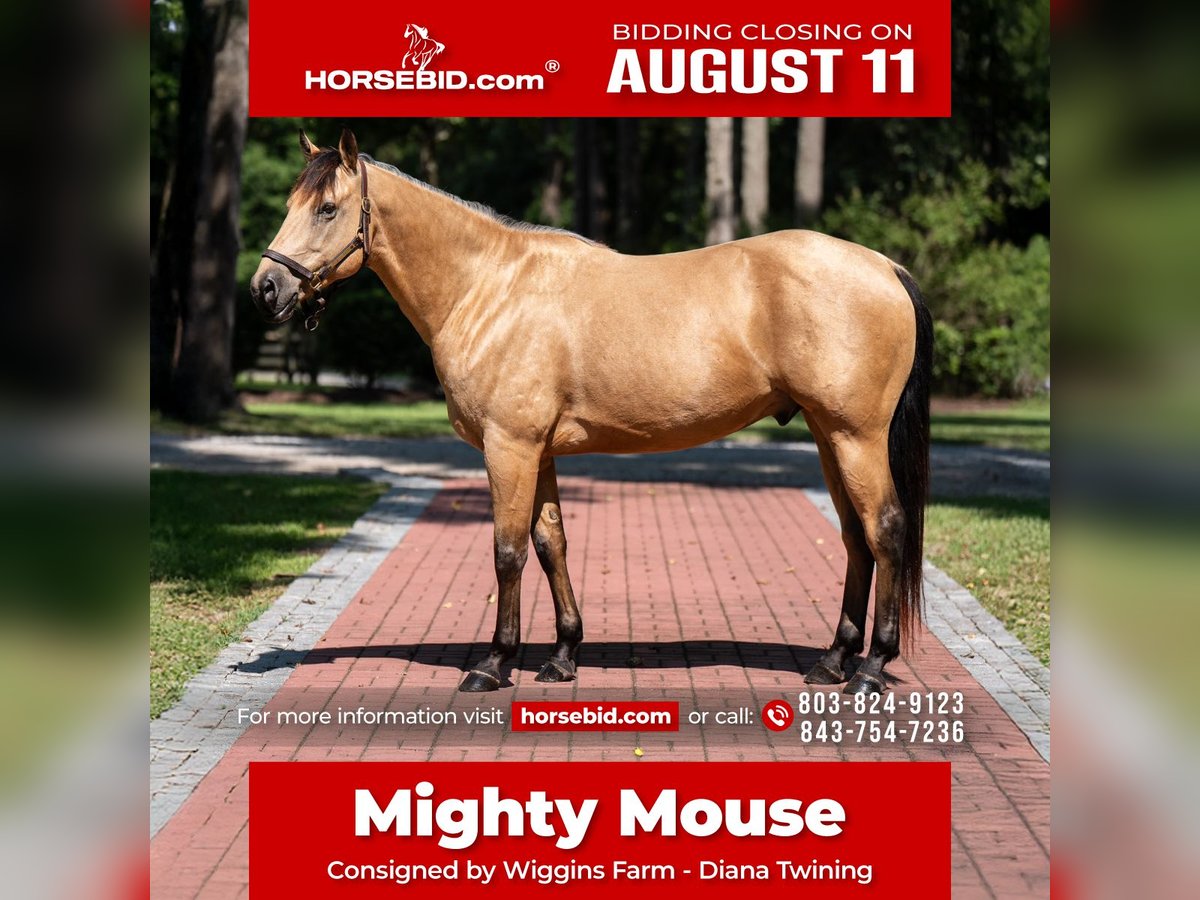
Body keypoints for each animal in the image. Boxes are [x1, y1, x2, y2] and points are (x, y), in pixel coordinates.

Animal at [250, 130, 933, 696]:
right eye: (290, 202)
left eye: (327, 208)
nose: (264, 289)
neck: (489, 288)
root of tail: (885, 266)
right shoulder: (540, 451)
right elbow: (551, 543)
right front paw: (561, 656)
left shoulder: (509, 447)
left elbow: (507, 551)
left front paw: (493, 664)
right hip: (827, 436)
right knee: (854, 537)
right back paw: (833, 661)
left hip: (855, 437)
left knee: (886, 529)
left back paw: (872, 667)